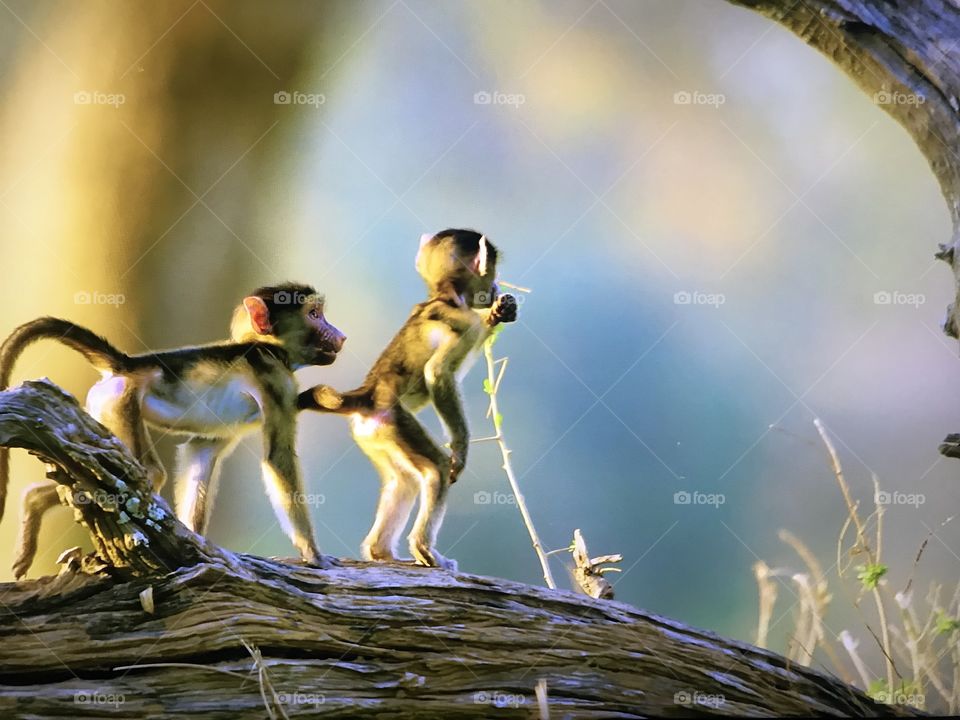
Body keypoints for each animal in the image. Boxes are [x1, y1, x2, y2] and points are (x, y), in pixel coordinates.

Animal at [0, 282, 346, 578]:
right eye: (315, 315)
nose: (340, 336)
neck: (268, 349)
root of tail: (127, 365)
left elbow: (201, 450)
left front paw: (194, 543)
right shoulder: (277, 382)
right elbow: (278, 457)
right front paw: (313, 554)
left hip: (106, 405)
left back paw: (35, 502)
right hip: (119, 401)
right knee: (148, 475)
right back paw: (35, 502)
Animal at [298, 229, 517, 571]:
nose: (494, 287)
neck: (444, 295)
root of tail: (367, 394)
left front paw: (499, 312)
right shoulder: (463, 321)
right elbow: (437, 373)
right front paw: (460, 449)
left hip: (374, 436)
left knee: (403, 481)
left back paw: (381, 552)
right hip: (394, 421)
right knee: (436, 469)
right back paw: (425, 550)